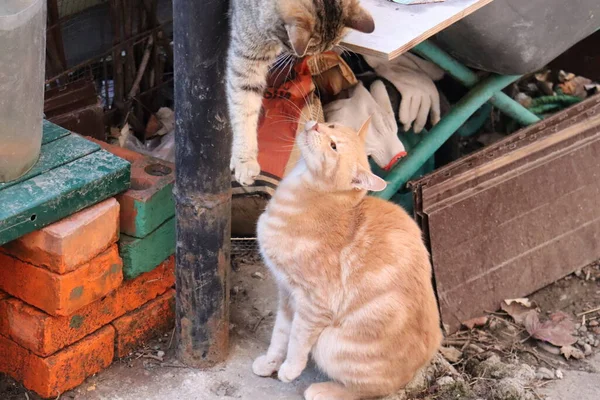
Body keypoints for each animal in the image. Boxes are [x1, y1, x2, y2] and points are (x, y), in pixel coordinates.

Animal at [255, 117, 442, 398]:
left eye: (333, 146)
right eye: (331, 125)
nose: (316, 126)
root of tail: (415, 372)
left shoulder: (314, 303)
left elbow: (297, 338)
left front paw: (290, 368)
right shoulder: (287, 294)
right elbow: (280, 334)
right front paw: (270, 362)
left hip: (328, 343)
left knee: (368, 390)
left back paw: (324, 390)